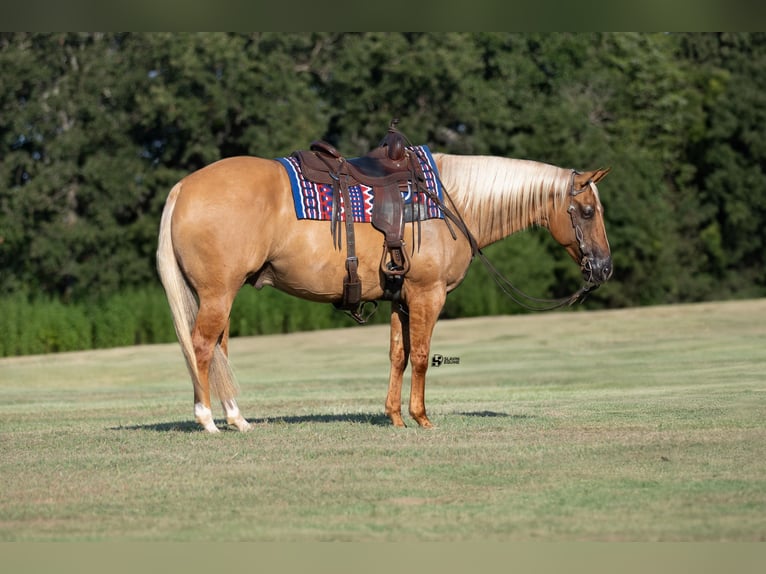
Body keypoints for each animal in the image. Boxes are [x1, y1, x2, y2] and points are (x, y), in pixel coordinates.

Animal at [156, 151, 612, 434]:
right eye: (588, 212)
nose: (604, 268)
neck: (449, 203)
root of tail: (182, 187)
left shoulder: (401, 299)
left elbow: (399, 355)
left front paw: (394, 417)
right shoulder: (428, 295)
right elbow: (422, 356)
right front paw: (422, 417)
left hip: (219, 296)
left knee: (217, 349)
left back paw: (237, 418)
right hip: (217, 294)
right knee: (201, 347)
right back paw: (208, 419)